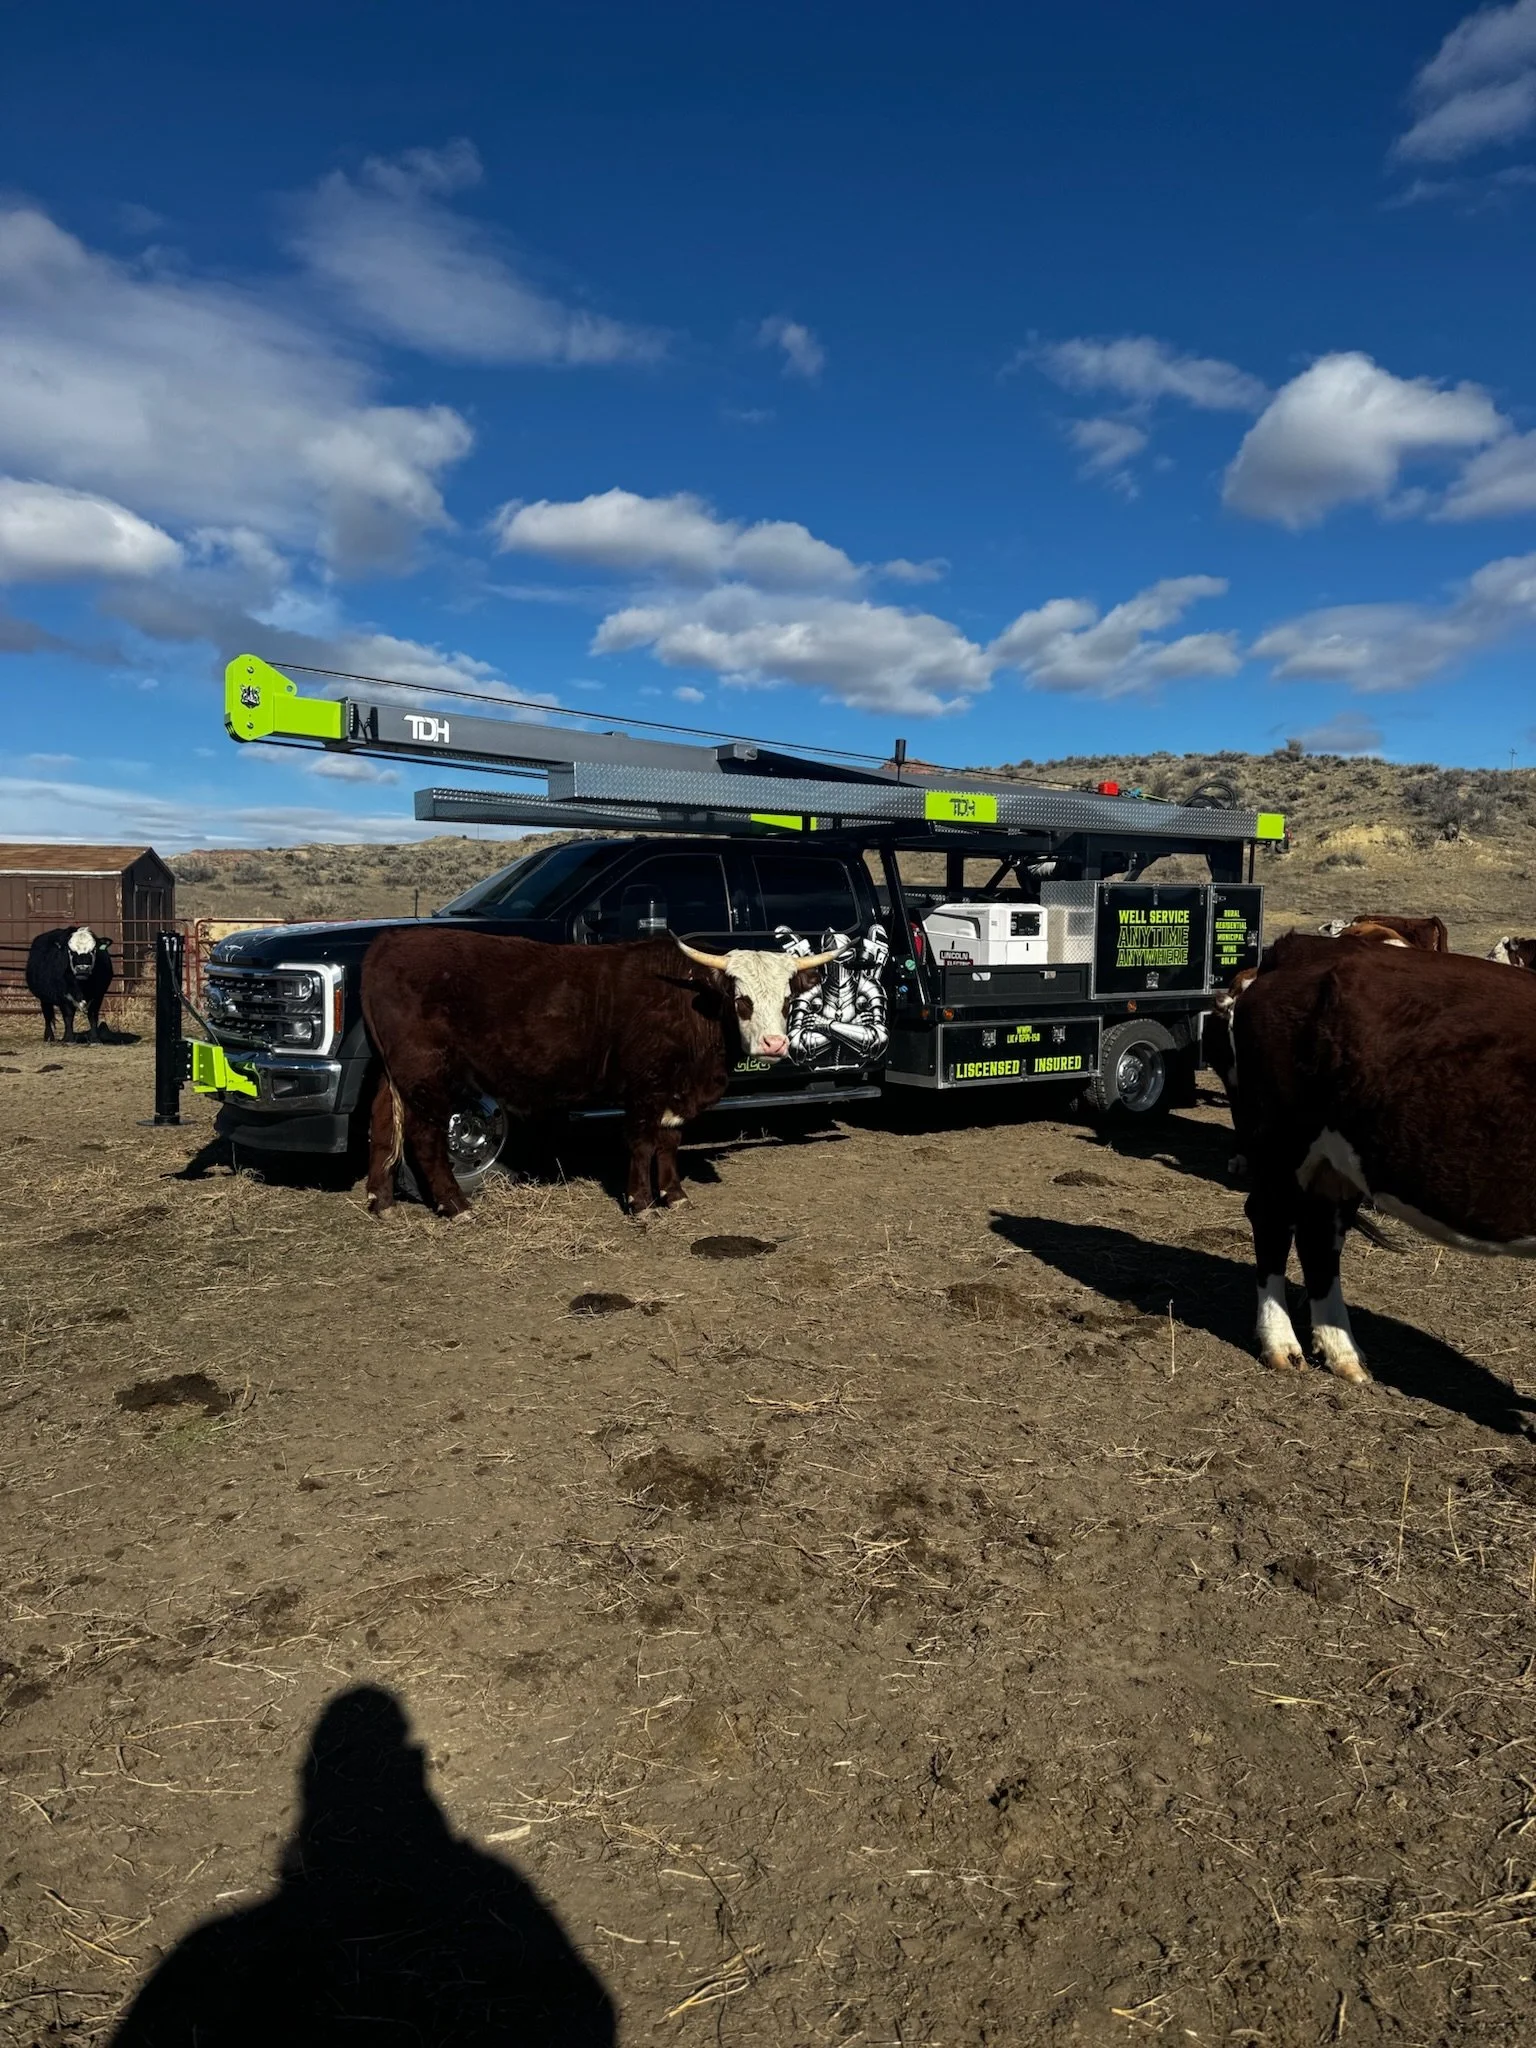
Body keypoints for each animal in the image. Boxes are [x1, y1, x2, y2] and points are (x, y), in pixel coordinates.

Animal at [360, 929, 838, 1218]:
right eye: (741, 999)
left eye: (787, 999)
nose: (773, 1044)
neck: (688, 1002)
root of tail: (389, 940)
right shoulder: (645, 1087)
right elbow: (642, 1141)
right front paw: (641, 1201)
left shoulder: (675, 1093)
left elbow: (669, 1142)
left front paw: (674, 1195)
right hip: (426, 1073)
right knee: (424, 1137)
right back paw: (455, 1205)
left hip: (392, 1074)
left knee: (382, 1127)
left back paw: (382, 1201)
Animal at [1232, 932, 1536, 1386]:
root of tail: (1300, 947)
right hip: (1280, 1143)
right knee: (1272, 1222)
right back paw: (1280, 1343)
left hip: (1338, 1162)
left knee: (1318, 1238)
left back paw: (1342, 1352)